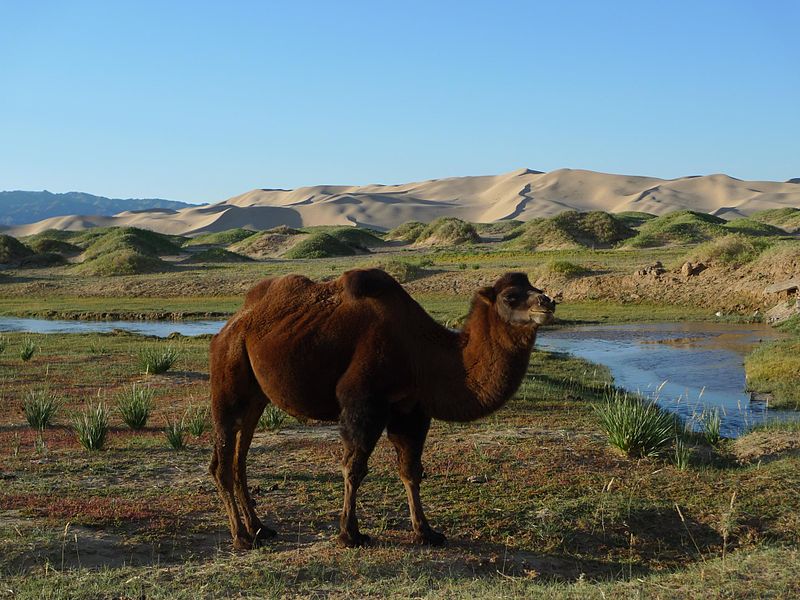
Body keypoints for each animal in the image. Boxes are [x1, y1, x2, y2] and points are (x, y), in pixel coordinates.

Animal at [209, 270, 552, 552]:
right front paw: (350, 535)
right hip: (228, 373)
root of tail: (231, 325)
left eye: (536, 287)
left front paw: (426, 532)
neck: (422, 352)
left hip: (256, 396)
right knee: (223, 458)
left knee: (240, 456)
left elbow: (411, 470)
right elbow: (354, 467)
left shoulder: (411, 409)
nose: (547, 302)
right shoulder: (364, 401)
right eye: (510, 296)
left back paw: (259, 528)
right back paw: (241, 536)